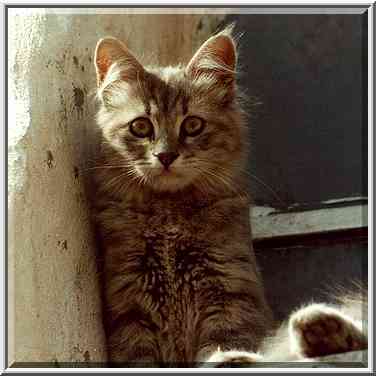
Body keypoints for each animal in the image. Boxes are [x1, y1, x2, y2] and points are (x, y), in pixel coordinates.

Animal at [93, 27, 272, 368]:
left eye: (192, 125)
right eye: (140, 126)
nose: (165, 156)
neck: (169, 214)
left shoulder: (231, 298)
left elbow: (225, 355)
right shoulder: (130, 307)